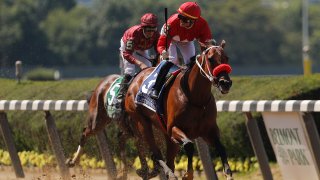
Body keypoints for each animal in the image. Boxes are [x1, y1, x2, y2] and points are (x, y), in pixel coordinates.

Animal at [124, 40, 232, 180]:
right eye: (211, 59)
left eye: (226, 58)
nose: (225, 83)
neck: (195, 97)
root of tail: (136, 78)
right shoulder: (173, 128)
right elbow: (189, 145)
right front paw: (188, 174)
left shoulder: (208, 130)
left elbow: (221, 147)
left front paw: (228, 173)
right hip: (141, 122)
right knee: (156, 153)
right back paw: (168, 173)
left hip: (167, 136)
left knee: (169, 159)